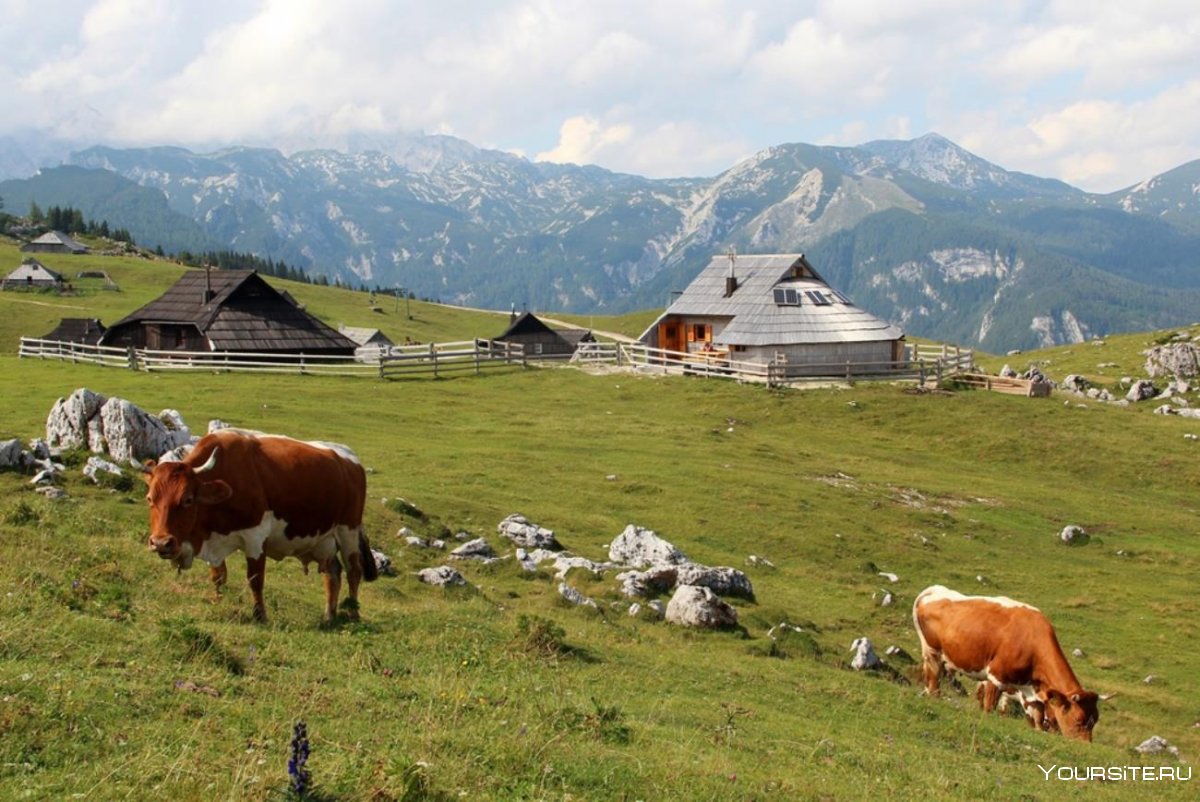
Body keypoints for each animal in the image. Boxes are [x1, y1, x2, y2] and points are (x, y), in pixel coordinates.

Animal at [145, 429, 379, 624]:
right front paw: (218, 602)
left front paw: (260, 615)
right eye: (150, 498)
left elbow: (255, 579)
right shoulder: (213, 538)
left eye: (188, 500)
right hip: (324, 540)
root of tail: (349, 458)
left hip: (348, 531)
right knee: (333, 573)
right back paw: (329, 615)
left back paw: (353, 613)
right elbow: (218, 575)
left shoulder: (255, 537)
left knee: (353, 571)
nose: (161, 543)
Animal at [912, 585, 1099, 744]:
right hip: (931, 650)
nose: (1085, 745)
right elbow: (989, 707)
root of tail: (933, 590)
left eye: (1095, 720)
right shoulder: (996, 676)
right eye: (1079, 719)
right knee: (933, 679)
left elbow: (1037, 720)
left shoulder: (1031, 695)